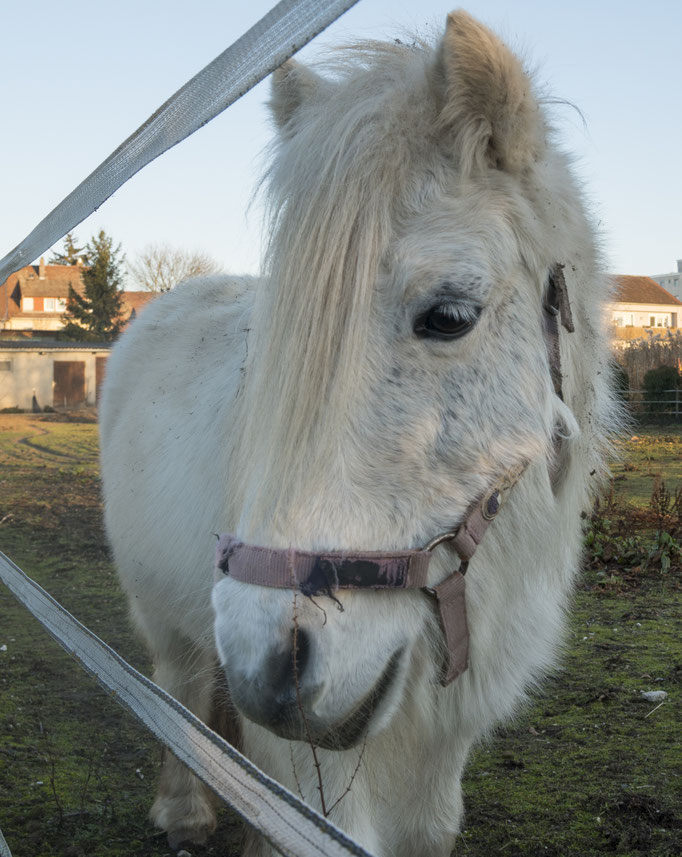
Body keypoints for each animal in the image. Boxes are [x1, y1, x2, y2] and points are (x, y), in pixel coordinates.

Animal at [101, 11, 616, 856]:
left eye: (450, 315)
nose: (269, 665)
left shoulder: (444, 738)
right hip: (167, 616)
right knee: (178, 685)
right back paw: (184, 810)